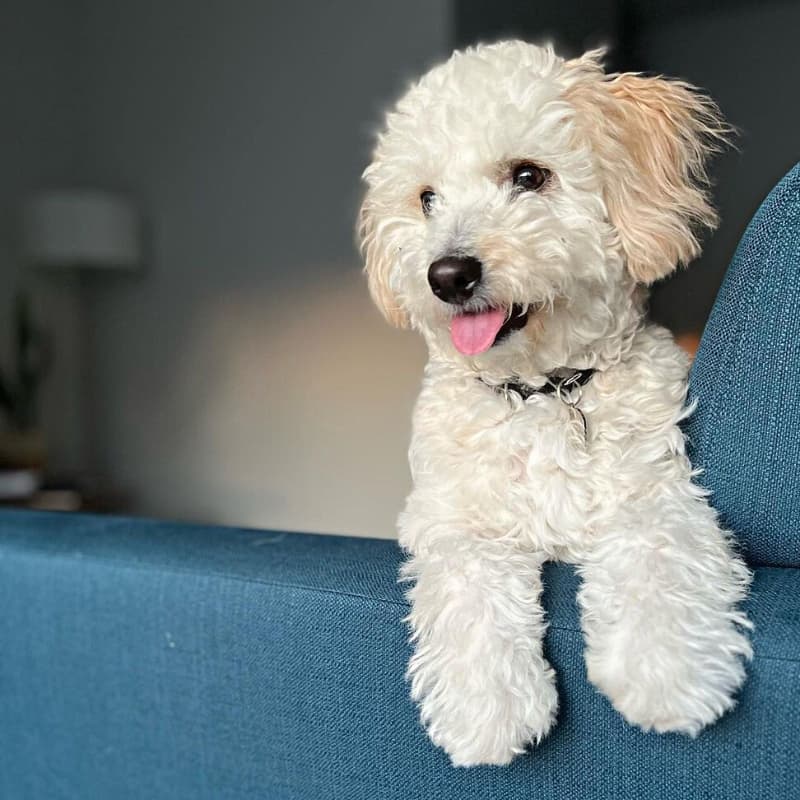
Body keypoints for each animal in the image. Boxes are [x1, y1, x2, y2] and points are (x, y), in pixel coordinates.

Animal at [360, 42, 752, 768]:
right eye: (427, 198)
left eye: (528, 175)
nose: (447, 275)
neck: (542, 392)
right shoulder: (450, 516)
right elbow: (468, 586)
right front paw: (486, 709)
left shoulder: (658, 488)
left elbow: (659, 553)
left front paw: (668, 673)